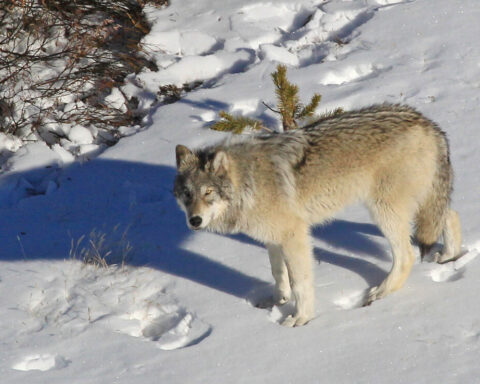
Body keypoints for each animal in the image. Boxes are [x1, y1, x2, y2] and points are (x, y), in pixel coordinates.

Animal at [172, 104, 462, 328]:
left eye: (208, 192)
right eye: (187, 194)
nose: (194, 221)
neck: (249, 181)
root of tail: (427, 122)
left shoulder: (294, 235)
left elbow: (300, 282)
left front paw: (301, 319)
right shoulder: (273, 238)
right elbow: (278, 273)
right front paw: (278, 301)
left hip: (384, 211)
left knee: (407, 255)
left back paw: (380, 293)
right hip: (420, 202)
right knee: (451, 214)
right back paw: (450, 256)